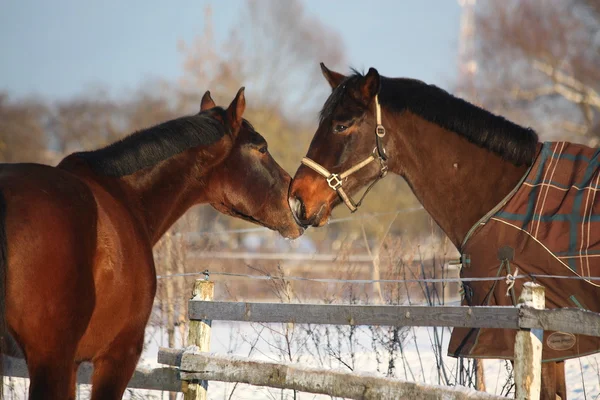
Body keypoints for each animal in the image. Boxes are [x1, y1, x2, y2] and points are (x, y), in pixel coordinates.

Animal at [0, 88, 300, 400]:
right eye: (261, 148)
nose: (298, 204)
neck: (124, 197)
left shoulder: (74, 364)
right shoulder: (118, 354)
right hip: (51, 359)